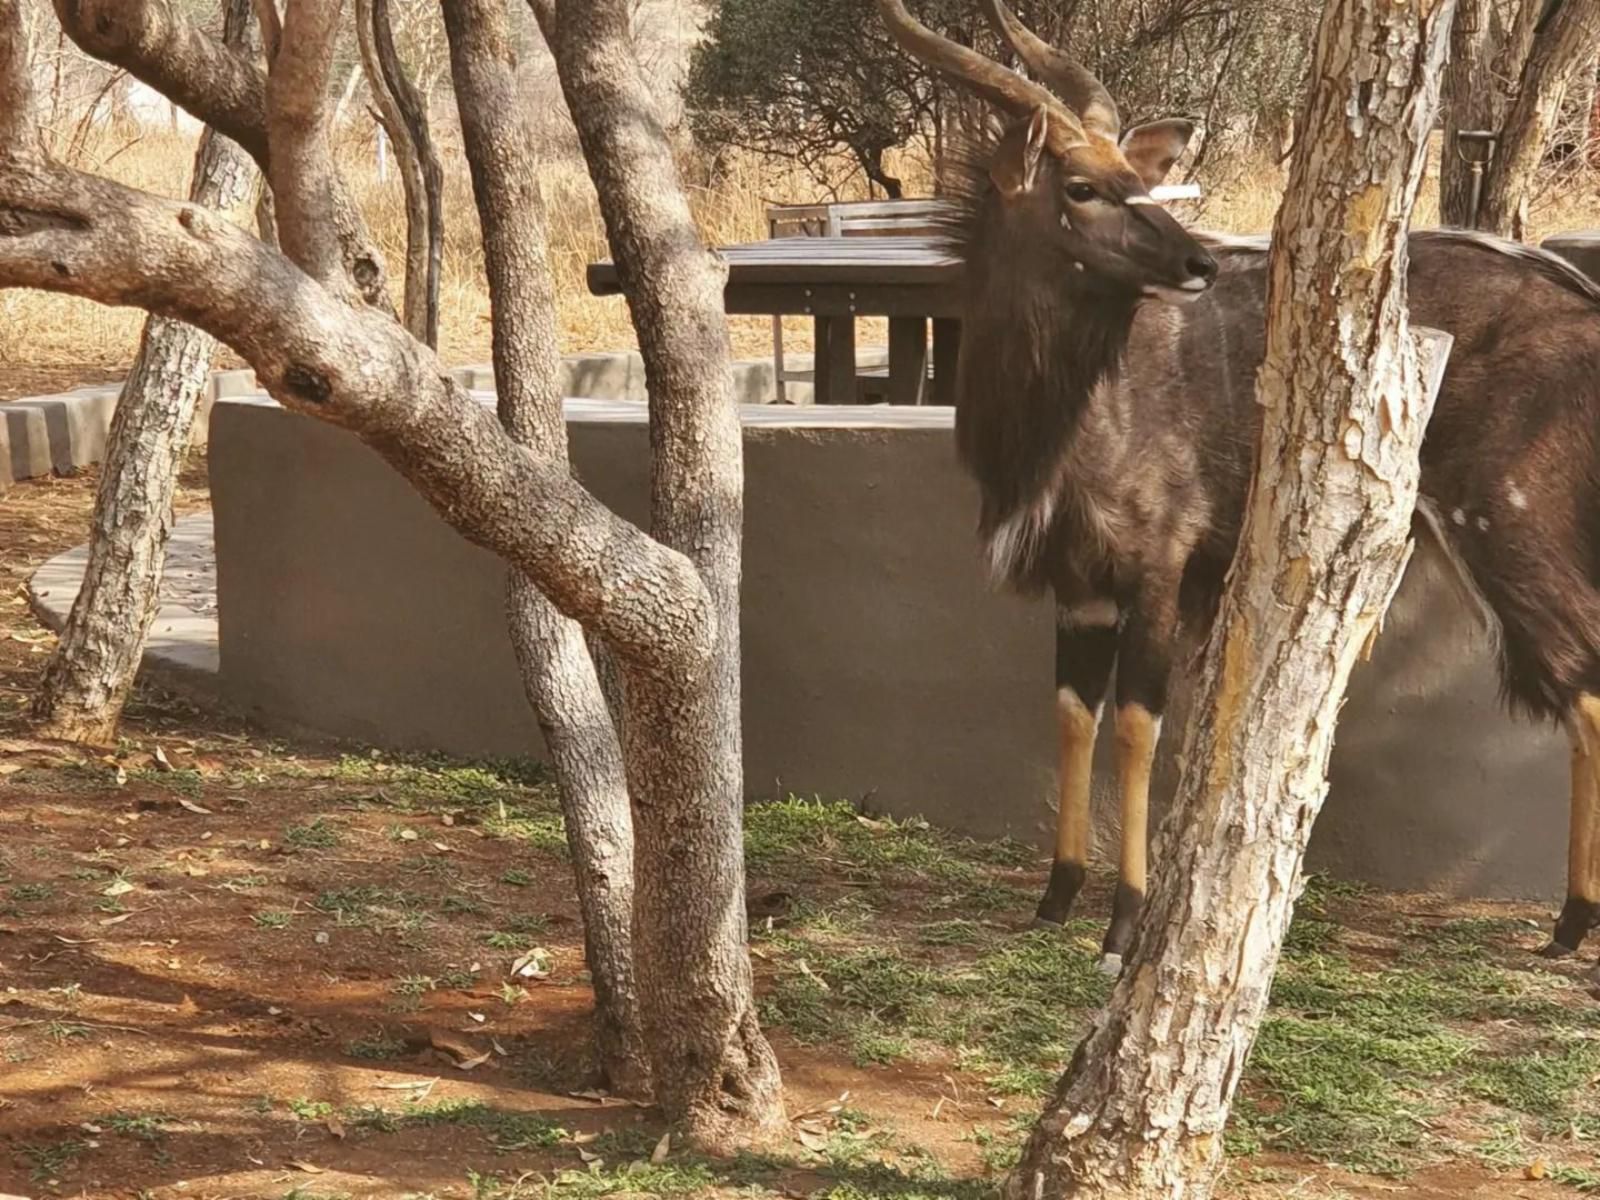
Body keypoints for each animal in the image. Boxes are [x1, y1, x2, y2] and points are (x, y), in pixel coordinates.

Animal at [883, 0, 1600, 972]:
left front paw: (1124, 923)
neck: (1061, 416)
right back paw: (1571, 921)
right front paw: (1054, 899)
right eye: (1082, 187)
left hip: (1508, 524)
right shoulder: (1078, 584)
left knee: (1585, 683)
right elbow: (1073, 712)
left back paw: (1571, 924)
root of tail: (1581, 302)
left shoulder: (1158, 566)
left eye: (1135, 180)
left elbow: (1138, 721)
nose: (1199, 262)